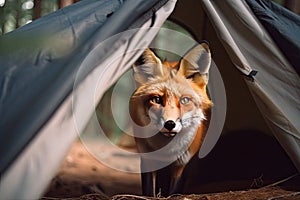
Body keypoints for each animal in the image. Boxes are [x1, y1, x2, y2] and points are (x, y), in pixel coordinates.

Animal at [129, 43, 213, 196]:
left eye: (184, 100)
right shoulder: (147, 158)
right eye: (156, 99)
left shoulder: (182, 164)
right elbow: (149, 190)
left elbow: (174, 191)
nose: (169, 124)